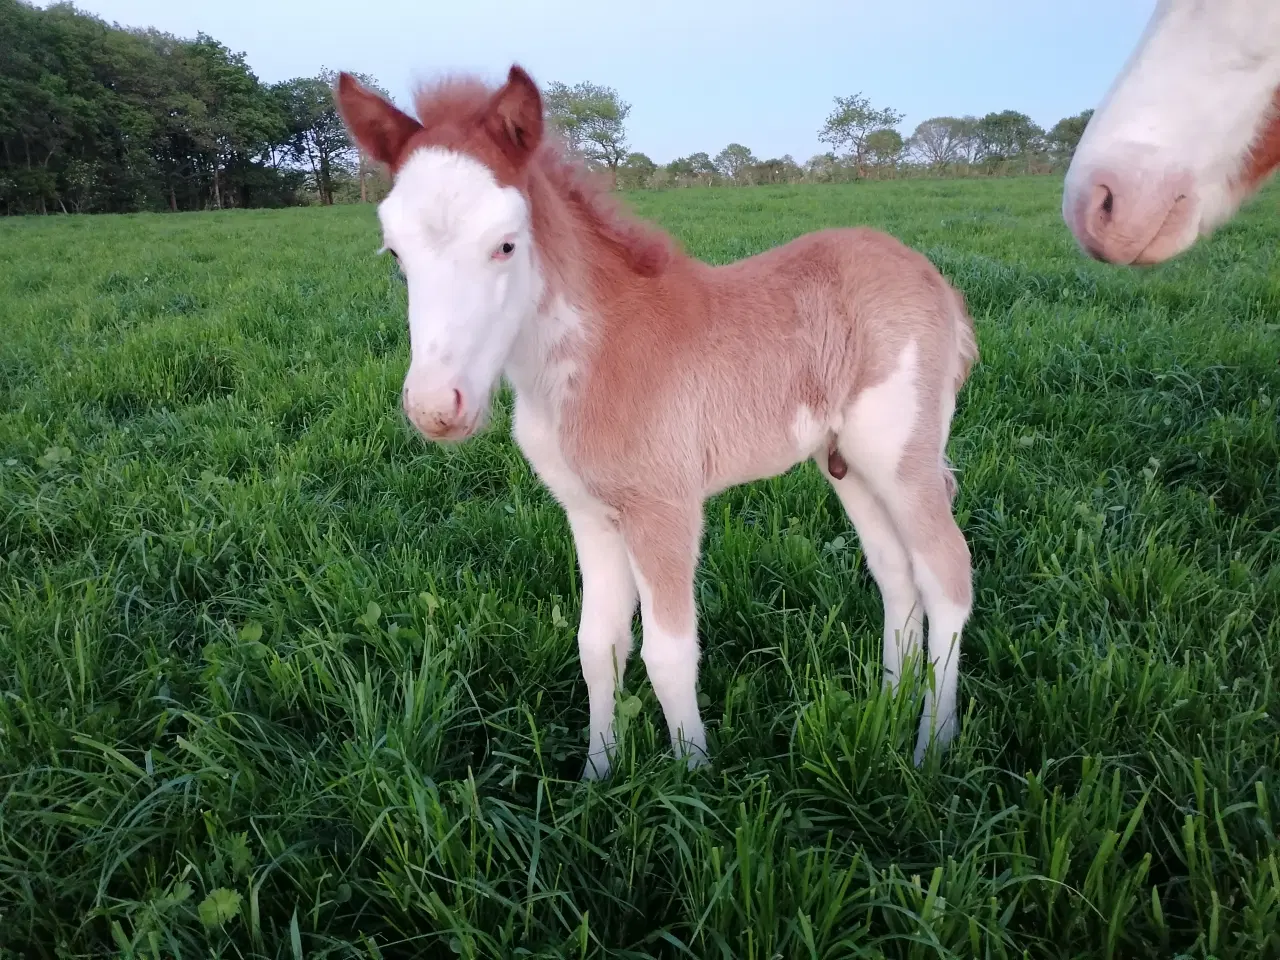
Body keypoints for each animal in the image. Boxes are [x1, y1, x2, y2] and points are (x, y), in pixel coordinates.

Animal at [335, 65, 972, 783]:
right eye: (395, 255)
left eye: (505, 245)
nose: (435, 409)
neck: (593, 357)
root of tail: (934, 279)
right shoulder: (589, 513)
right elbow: (598, 645)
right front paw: (596, 776)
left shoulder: (663, 510)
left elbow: (667, 655)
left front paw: (694, 780)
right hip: (847, 463)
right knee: (896, 573)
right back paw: (888, 707)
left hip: (903, 455)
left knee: (947, 572)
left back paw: (930, 745)